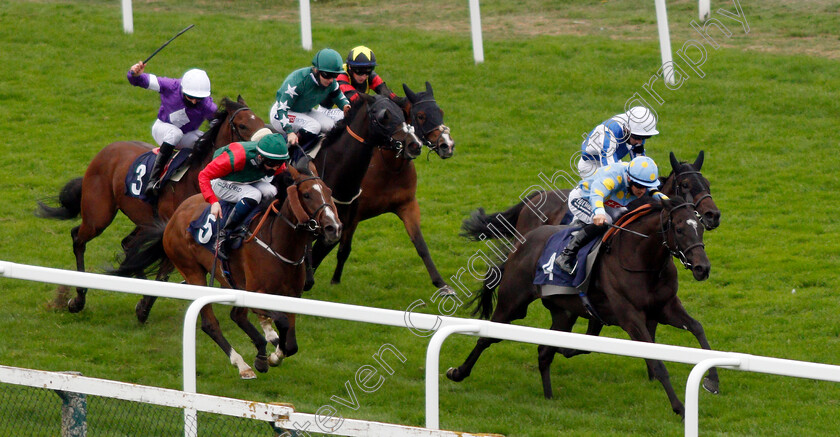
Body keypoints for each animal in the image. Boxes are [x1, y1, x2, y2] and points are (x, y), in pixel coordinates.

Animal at [37, 96, 262, 312]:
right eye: (242, 125)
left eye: (260, 121)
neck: (196, 178)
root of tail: (107, 149)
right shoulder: (174, 233)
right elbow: (164, 271)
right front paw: (144, 308)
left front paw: (144, 302)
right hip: (98, 216)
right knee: (78, 238)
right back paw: (78, 299)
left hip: (143, 221)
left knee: (128, 244)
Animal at [112, 160, 342, 378]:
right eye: (307, 194)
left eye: (329, 191)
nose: (334, 228)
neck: (278, 243)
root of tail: (174, 217)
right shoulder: (255, 293)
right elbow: (281, 323)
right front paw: (270, 356)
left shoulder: (292, 296)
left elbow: (291, 343)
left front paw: (274, 352)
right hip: (193, 272)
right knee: (211, 324)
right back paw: (243, 364)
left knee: (238, 316)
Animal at [306, 82, 456, 292]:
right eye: (421, 116)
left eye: (440, 111)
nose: (447, 145)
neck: (390, 167)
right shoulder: (354, 214)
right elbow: (343, 249)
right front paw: (335, 279)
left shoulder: (407, 205)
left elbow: (421, 244)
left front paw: (441, 284)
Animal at [446, 196, 716, 418]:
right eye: (679, 229)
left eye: (700, 227)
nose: (702, 268)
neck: (642, 261)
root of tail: (522, 242)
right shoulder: (630, 316)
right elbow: (657, 362)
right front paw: (680, 408)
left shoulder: (666, 307)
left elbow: (698, 328)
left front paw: (712, 382)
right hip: (512, 302)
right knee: (487, 337)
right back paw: (458, 372)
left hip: (563, 313)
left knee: (544, 351)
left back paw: (549, 397)